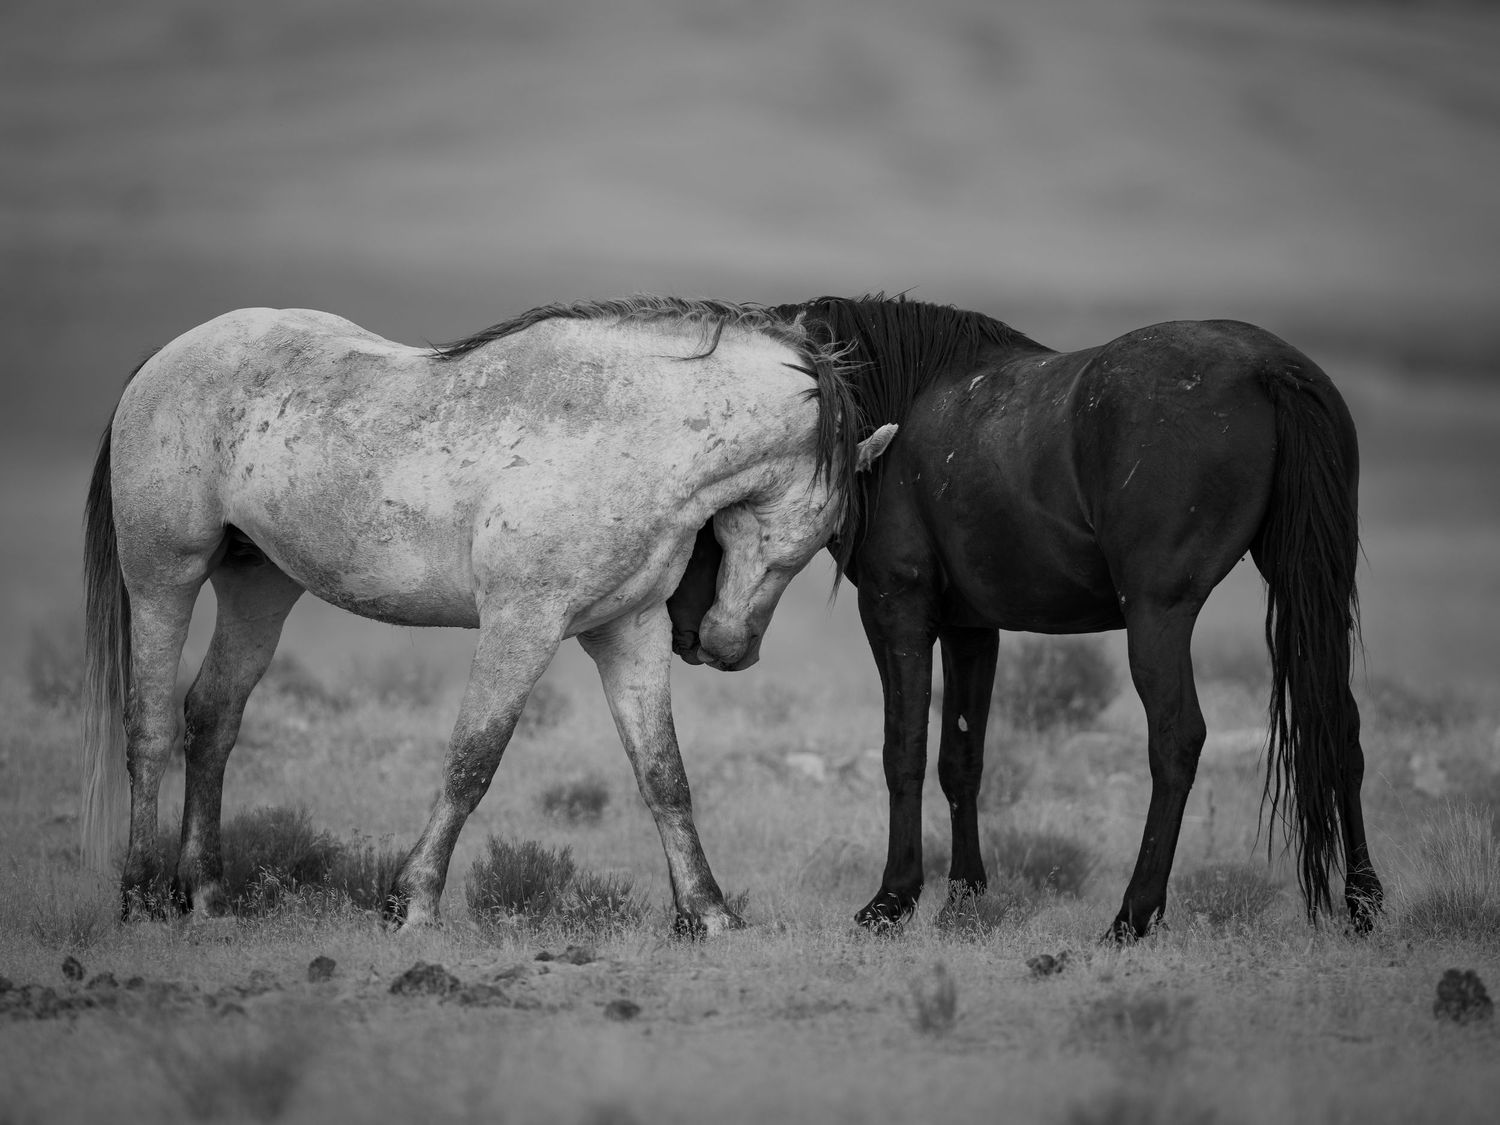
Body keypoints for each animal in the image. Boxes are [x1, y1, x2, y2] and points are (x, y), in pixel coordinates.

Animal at [81, 294, 896, 934]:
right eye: (819, 536)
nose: (730, 649)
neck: (625, 434)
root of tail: (165, 358)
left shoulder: (628, 633)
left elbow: (664, 775)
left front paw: (709, 913)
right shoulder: (522, 625)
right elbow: (473, 760)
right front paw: (411, 903)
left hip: (260, 588)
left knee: (212, 718)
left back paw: (207, 895)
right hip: (163, 578)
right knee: (151, 727)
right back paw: (141, 899)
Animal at [668, 295, 1383, 940]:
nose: (688, 634)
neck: (895, 412)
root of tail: (1271, 369)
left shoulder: (898, 612)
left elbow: (903, 750)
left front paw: (892, 901)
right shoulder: (970, 628)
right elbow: (961, 758)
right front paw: (963, 900)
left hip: (1158, 616)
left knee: (1177, 741)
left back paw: (1132, 916)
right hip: (1307, 588)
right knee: (1340, 728)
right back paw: (1362, 904)